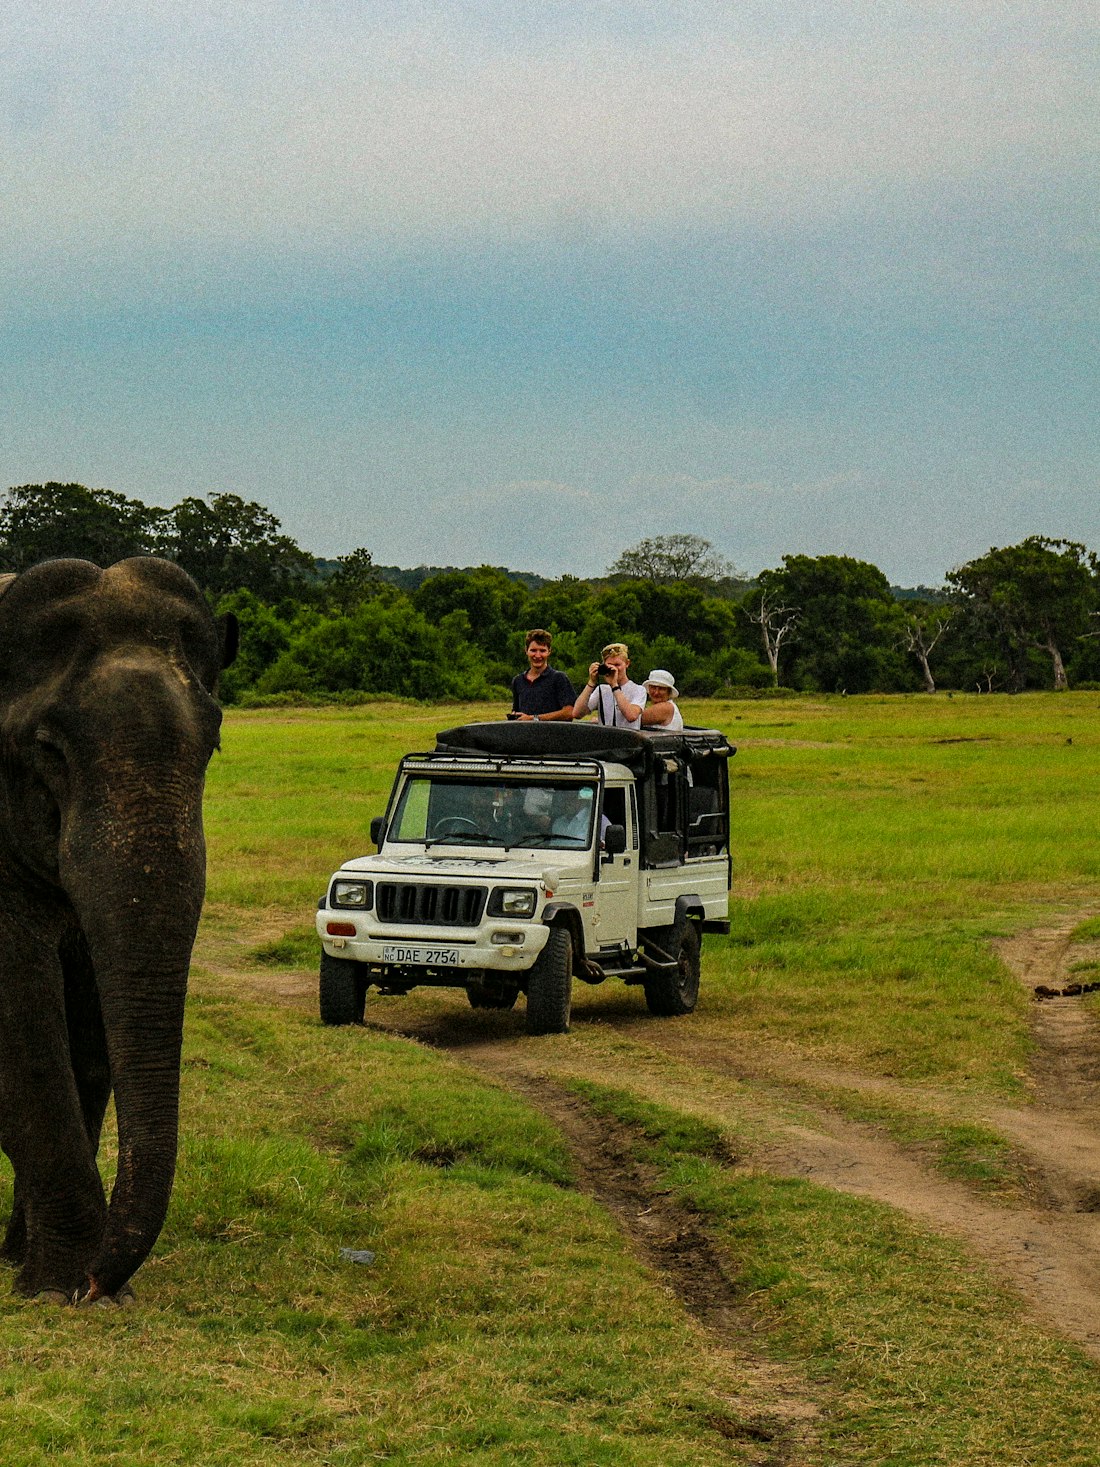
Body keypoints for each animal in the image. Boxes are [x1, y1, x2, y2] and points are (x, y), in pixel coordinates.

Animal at [0, 556, 237, 1303]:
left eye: (213, 745)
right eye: (48, 750)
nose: (99, 1284)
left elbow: (89, 1033)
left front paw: (38, 1270)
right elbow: (21, 1011)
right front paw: (57, 1285)